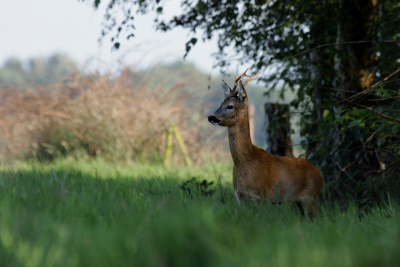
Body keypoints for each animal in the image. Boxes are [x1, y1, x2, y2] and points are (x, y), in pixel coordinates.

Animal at [208, 69, 324, 218]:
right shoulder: (240, 196)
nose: (211, 116)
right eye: (220, 104)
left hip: (311, 197)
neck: (245, 160)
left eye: (230, 106)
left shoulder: (259, 196)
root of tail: (319, 173)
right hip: (299, 202)